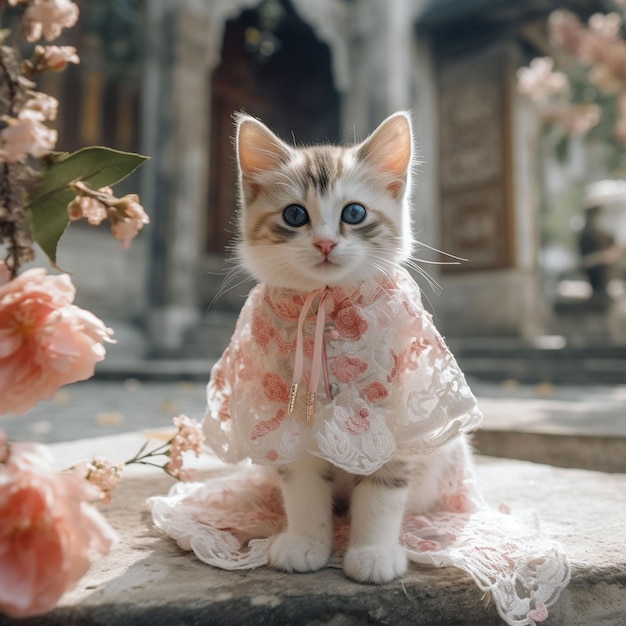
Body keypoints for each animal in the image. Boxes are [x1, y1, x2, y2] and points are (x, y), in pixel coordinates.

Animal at [202, 109, 480, 584]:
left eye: (354, 212)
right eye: (295, 215)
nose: (326, 242)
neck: (325, 303)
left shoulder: (392, 417)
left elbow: (383, 491)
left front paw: (373, 553)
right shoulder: (289, 423)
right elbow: (303, 486)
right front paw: (306, 543)